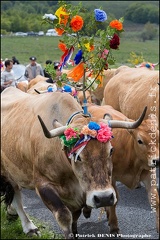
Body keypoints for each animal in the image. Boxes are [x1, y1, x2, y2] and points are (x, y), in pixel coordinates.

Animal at [0, 86, 146, 238]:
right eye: (78, 156)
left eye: (111, 150)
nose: (104, 198)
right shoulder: (42, 184)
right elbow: (64, 215)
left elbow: (76, 215)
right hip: (6, 174)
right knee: (17, 197)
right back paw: (29, 227)